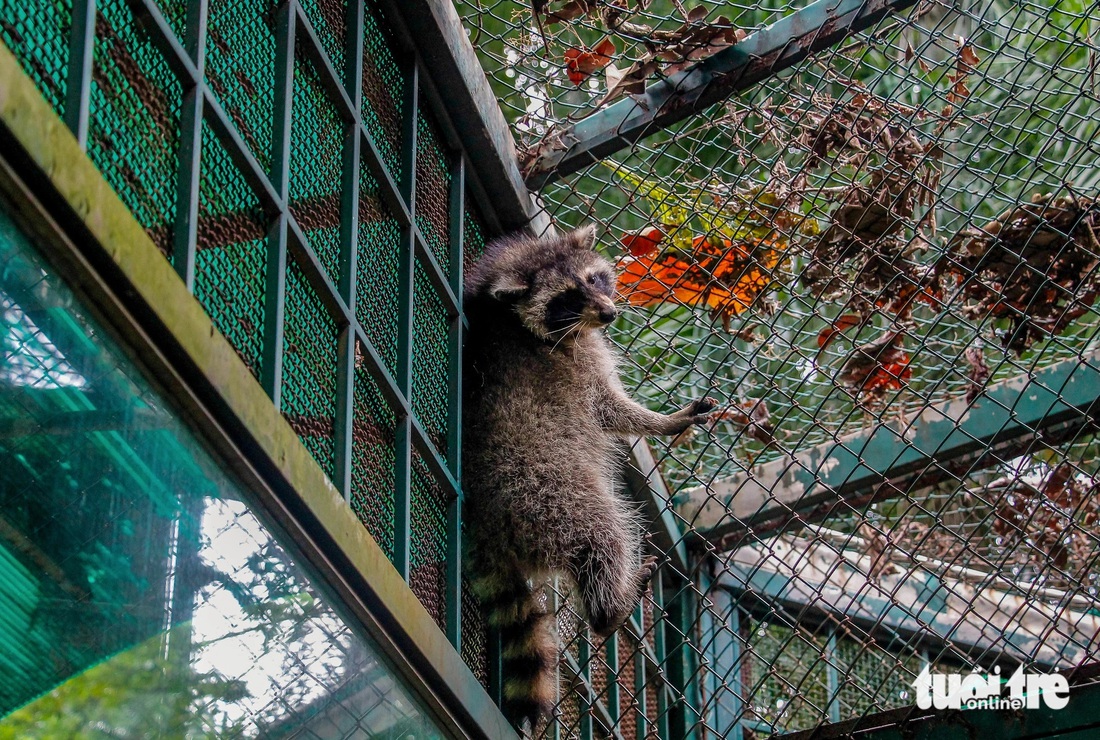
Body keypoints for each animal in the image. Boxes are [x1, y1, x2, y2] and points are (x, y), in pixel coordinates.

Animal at [462, 222, 712, 730]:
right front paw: (663, 421)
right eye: (566, 299)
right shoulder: (579, 362)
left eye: (595, 279)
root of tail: (489, 523)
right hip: (549, 495)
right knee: (602, 535)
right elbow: (612, 409)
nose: (611, 314)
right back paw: (610, 608)